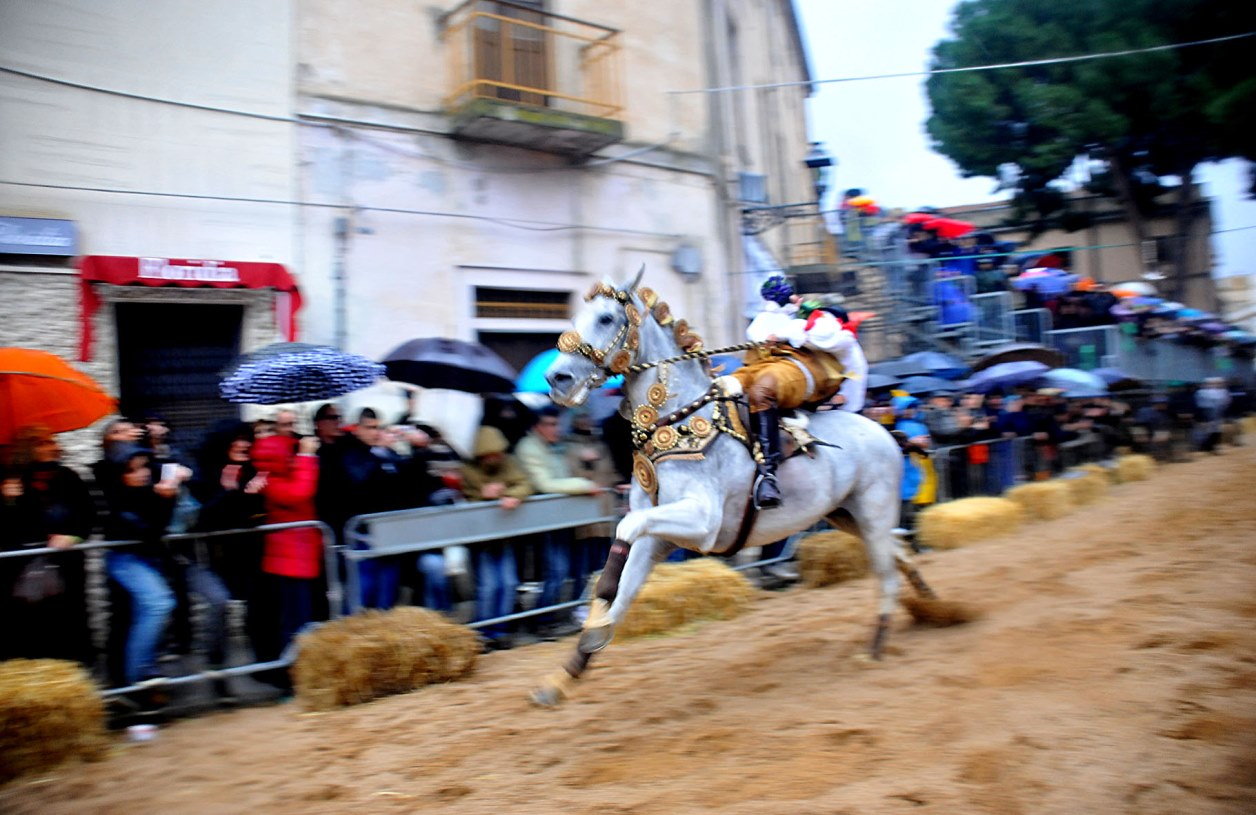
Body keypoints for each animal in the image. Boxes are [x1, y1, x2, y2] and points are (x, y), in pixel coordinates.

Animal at [531, 270, 963, 706]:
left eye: (605, 318)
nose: (557, 379)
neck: (677, 420)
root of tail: (886, 431)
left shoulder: (701, 522)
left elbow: (622, 536)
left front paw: (593, 618)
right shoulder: (659, 537)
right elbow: (622, 594)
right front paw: (566, 673)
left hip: (872, 512)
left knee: (887, 571)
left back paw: (877, 644)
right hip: (846, 515)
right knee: (899, 553)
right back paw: (932, 605)